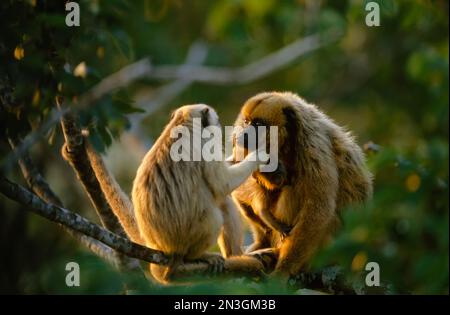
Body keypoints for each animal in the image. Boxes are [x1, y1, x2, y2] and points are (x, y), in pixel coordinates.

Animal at [232, 92, 372, 278]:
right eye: (247, 122)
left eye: (258, 124)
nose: (243, 134)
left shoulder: (313, 147)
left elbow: (318, 210)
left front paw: (283, 271)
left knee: (294, 190)